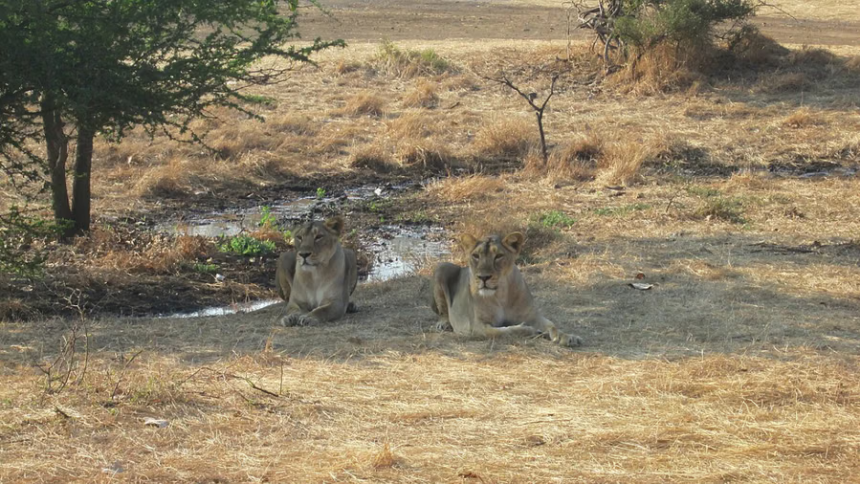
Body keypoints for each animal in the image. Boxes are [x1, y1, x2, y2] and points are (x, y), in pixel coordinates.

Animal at [430, 232, 582, 347]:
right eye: (476, 256)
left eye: (498, 256)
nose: (483, 277)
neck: (501, 295)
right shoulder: (475, 327)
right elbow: (500, 331)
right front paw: (529, 330)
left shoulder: (532, 316)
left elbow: (552, 325)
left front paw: (568, 337)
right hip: (442, 267)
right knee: (443, 311)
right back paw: (444, 324)